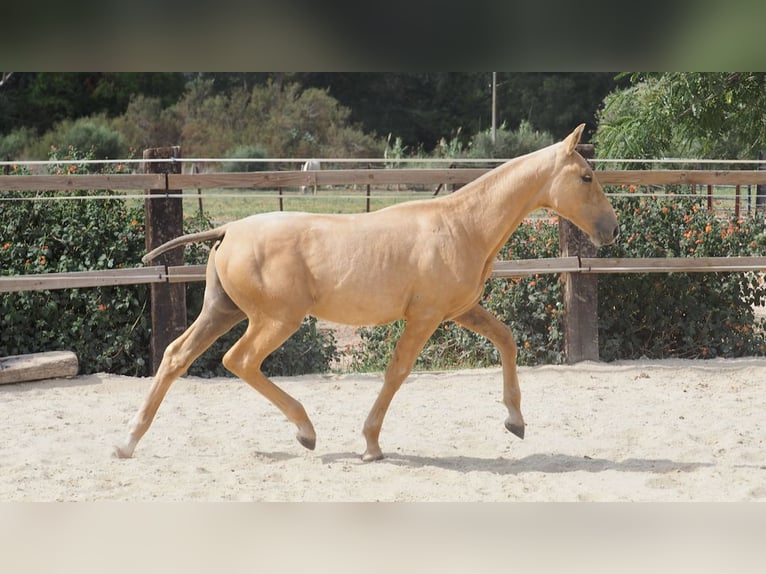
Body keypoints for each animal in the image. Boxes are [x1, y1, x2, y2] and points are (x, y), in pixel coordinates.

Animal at [112, 126, 616, 464]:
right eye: (586, 177)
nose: (610, 229)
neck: (462, 225)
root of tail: (228, 229)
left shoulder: (460, 310)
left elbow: (507, 340)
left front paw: (516, 422)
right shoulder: (425, 317)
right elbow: (397, 372)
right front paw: (371, 444)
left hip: (223, 311)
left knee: (176, 356)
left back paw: (127, 442)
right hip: (274, 320)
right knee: (240, 360)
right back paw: (306, 432)